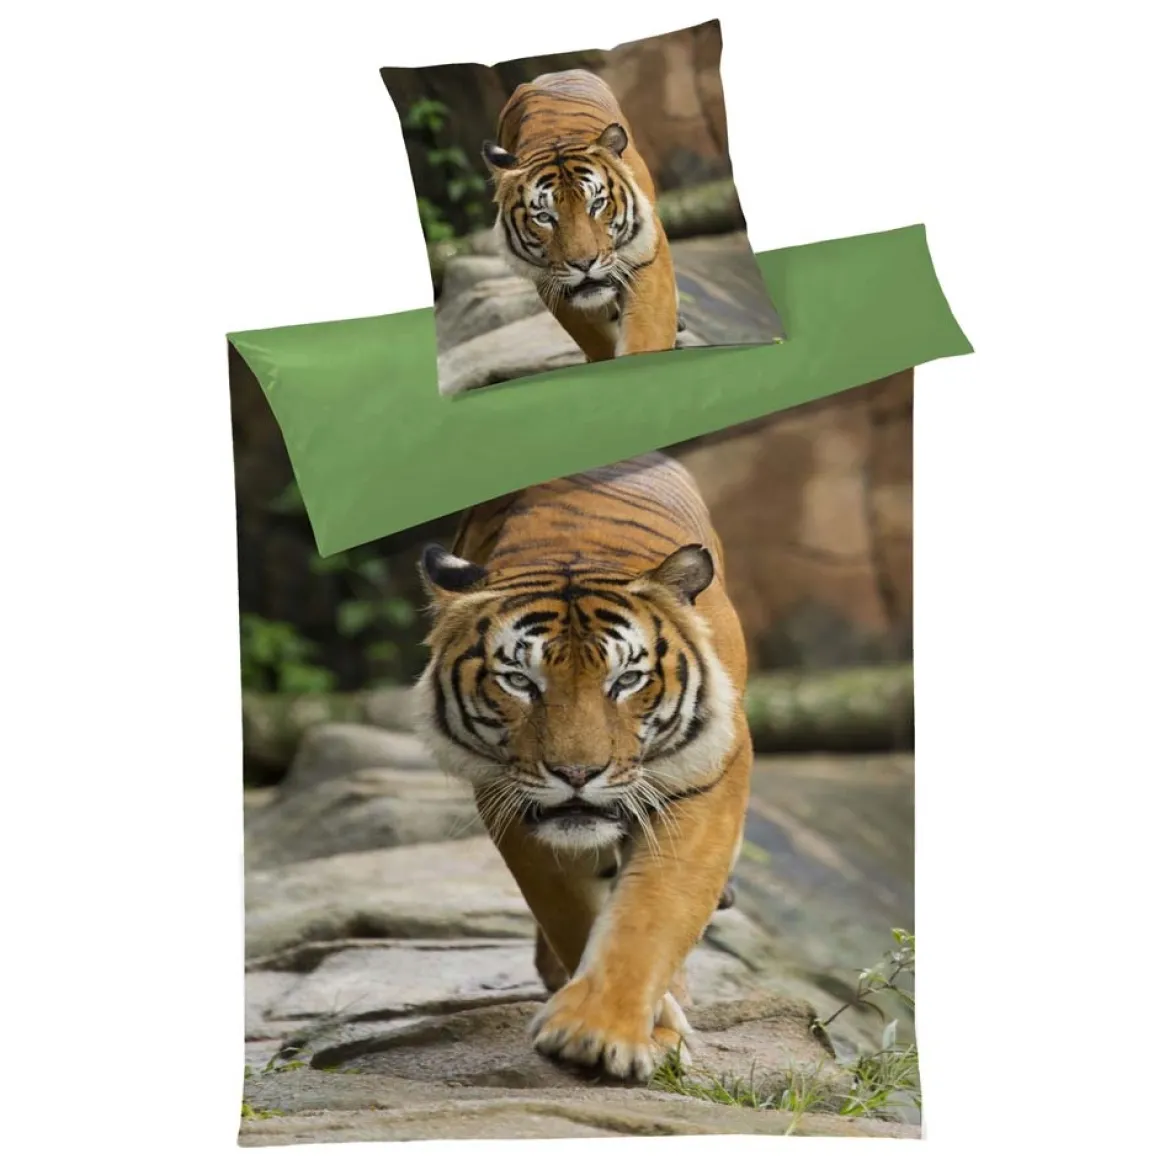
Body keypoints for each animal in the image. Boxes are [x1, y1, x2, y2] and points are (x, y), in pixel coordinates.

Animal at [411, 452, 752, 1081]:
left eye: (627, 680)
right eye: (520, 681)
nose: (576, 774)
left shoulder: (704, 780)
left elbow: (653, 909)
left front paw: (599, 1033)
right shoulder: (512, 802)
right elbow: (570, 910)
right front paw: (645, 1026)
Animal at [481, 69, 681, 364]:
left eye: (596, 204)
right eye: (544, 217)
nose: (584, 264)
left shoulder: (646, 257)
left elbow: (646, 336)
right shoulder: (553, 286)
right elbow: (596, 340)